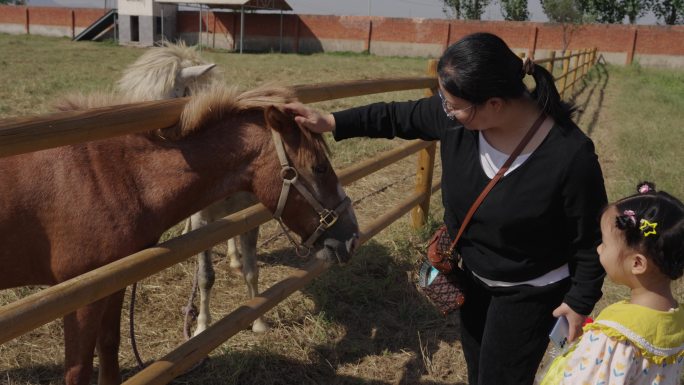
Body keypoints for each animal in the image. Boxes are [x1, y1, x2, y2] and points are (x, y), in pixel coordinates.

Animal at [0, 85, 360, 384]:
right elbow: (78, 370)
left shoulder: (112, 286)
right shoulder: (79, 301)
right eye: (319, 167)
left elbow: (110, 348)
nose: (351, 237)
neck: (115, 176)